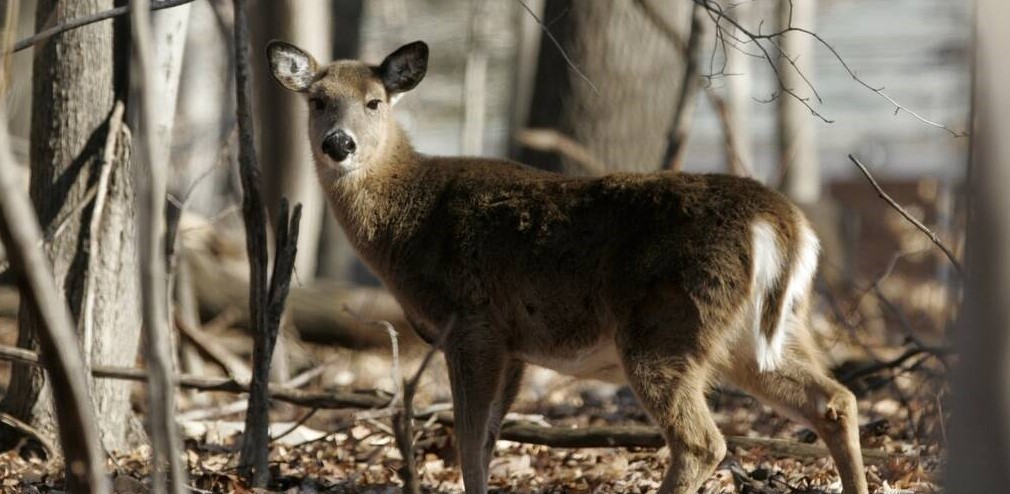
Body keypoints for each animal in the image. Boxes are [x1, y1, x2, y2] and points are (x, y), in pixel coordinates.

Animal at [266, 40, 868, 492]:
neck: (408, 224)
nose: (338, 144)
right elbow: (487, 438)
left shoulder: (473, 322)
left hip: (666, 327)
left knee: (702, 441)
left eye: (374, 102)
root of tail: (784, 221)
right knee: (834, 399)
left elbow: (468, 438)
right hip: (769, 331)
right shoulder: (512, 344)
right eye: (317, 100)